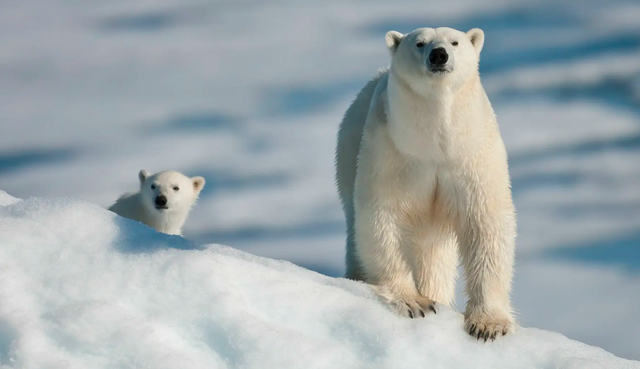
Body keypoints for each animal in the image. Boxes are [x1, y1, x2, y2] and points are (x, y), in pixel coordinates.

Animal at [338, 27, 516, 340]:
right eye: (419, 43)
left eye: (455, 42)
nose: (439, 55)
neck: (436, 144)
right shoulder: (392, 150)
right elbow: (383, 217)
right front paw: (414, 302)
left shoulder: (472, 154)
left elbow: (486, 223)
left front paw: (488, 325)